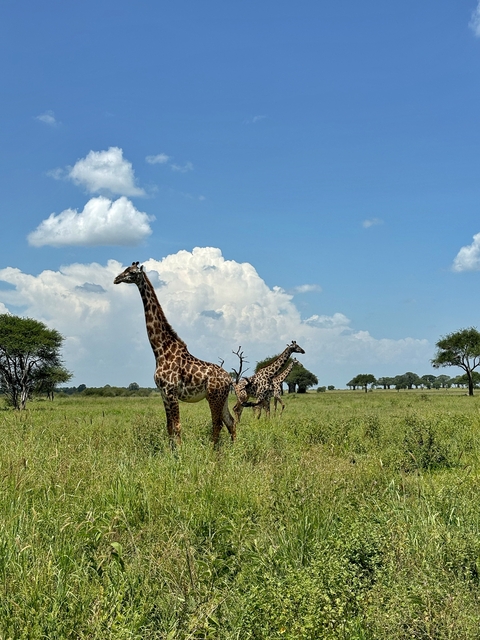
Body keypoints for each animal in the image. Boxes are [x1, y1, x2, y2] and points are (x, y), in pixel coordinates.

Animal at [114, 262, 236, 446]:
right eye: (125, 269)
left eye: (132, 273)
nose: (116, 278)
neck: (160, 350)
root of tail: (229, 379)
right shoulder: (163, 393)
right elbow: (169, 427)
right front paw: (170, 450)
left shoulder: (171, 391)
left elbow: (177, 426)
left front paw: (179, 451)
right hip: (222, 398)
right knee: (230, 421)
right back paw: (235, 448)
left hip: (214, 396)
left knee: (218, 423)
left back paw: (213, 451)